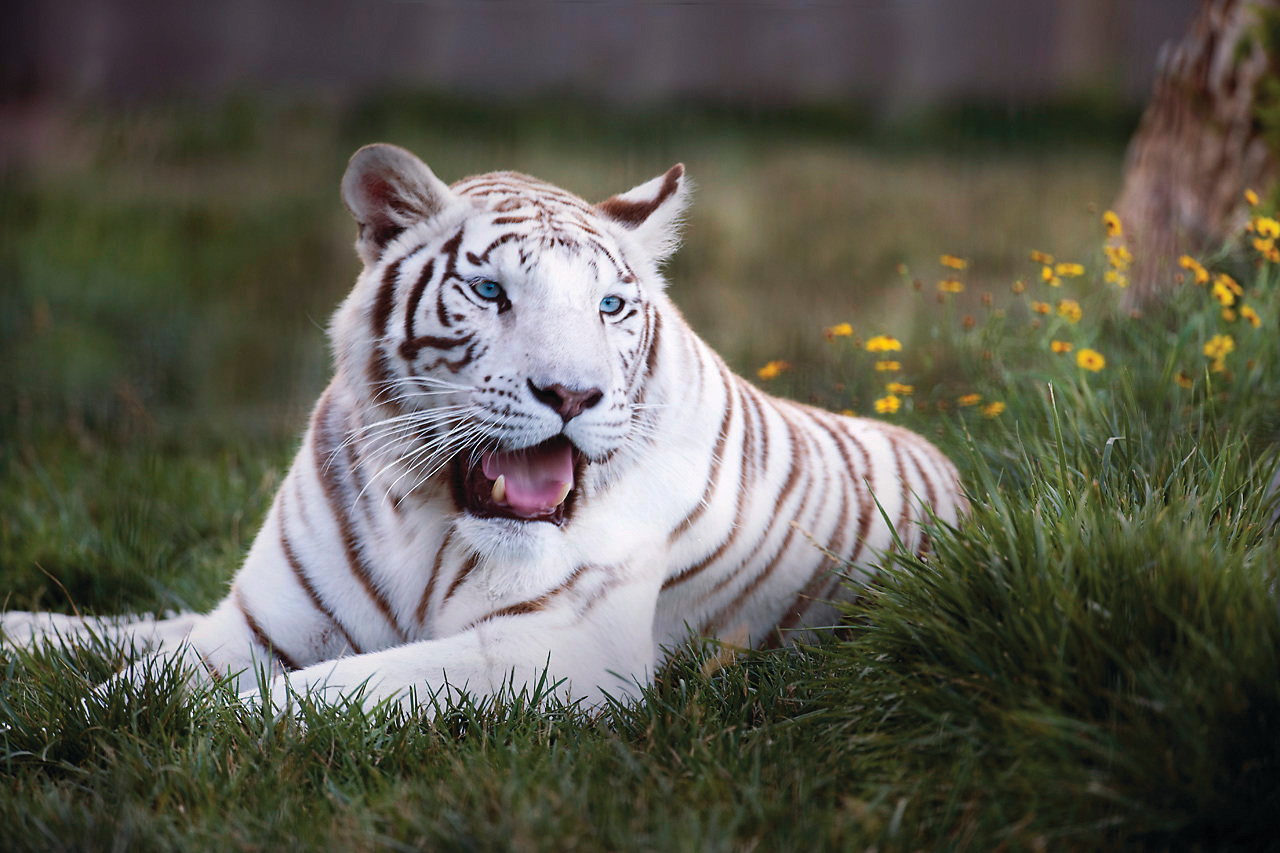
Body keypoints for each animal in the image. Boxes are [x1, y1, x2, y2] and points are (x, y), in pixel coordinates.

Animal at [0, 144, 962, 712]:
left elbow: (334, 686)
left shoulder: (562, 647)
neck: (424, 521)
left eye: (610, 305)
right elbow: (136, 678)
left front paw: (188, 728)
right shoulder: (256, 623)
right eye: (491, 291)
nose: (573, 394)